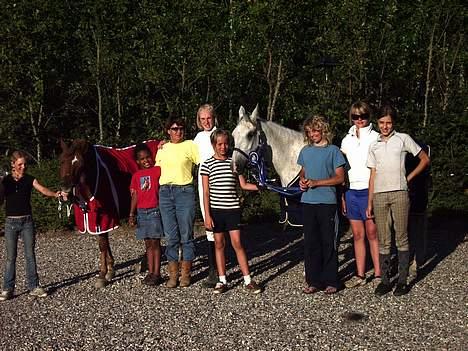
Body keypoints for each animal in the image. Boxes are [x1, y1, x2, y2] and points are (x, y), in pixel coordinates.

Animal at [59, 139, 161, 288]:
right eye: (61, 161)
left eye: (80, 164)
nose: (65, 190)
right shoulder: (96, 220)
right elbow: (104, 243)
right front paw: (110, 270)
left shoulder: (104, 218)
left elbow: (102, 245)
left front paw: (102, 275)